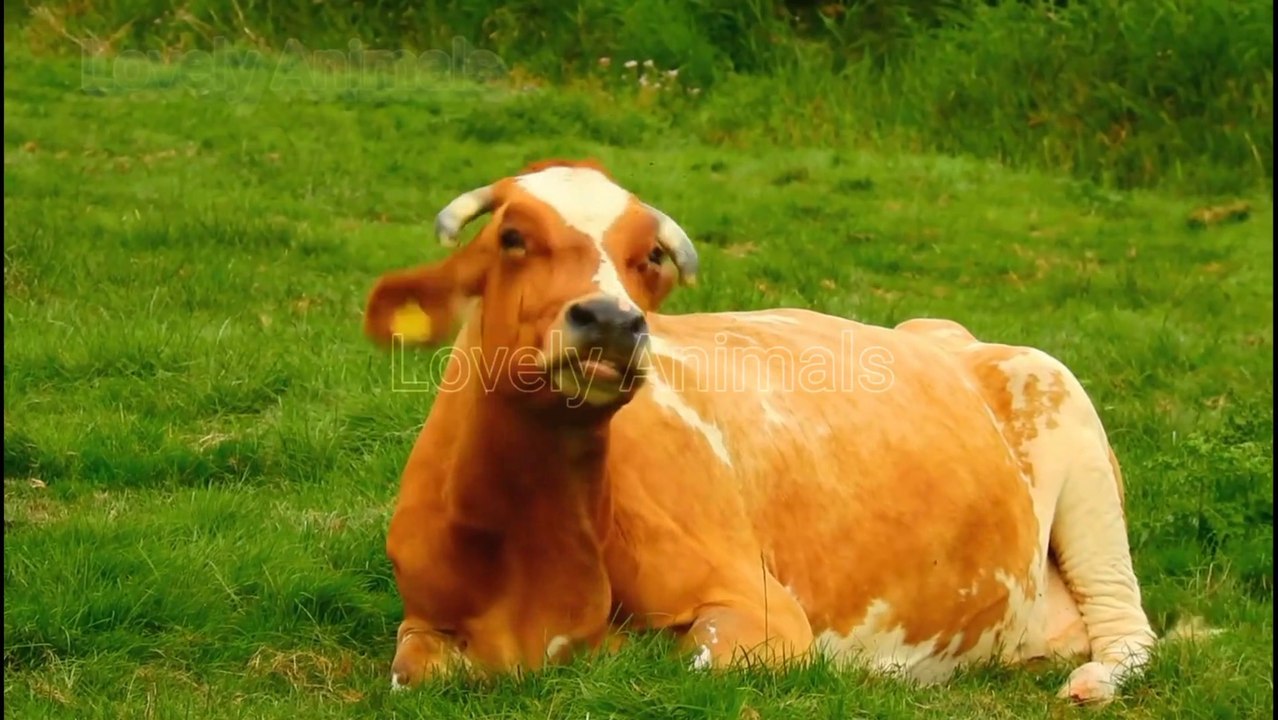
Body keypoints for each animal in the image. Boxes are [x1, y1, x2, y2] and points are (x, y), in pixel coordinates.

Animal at [361, 158, 1158, 706]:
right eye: (513, 236)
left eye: (648, 256)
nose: (613, 321)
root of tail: (948, 333)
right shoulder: (421, 624)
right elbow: (412, 671)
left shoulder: (762, 615)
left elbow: (683, 662)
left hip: (1073, 432)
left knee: (1128, 625)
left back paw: (1092, 682)